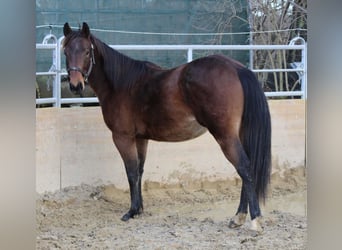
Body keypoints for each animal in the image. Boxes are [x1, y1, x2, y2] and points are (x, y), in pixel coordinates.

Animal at [62, 22, 272, 231]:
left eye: (87, 52)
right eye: (66, 51)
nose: (75, 85)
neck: (122, 84)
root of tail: (236, 68)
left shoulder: (123, 137)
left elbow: (131, 172)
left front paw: (131, 211)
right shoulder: (141, 138)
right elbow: (139, 171)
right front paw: (139, 209)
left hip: (225, 136)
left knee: (244, 168)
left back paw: (254, 219)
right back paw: (238, 218)